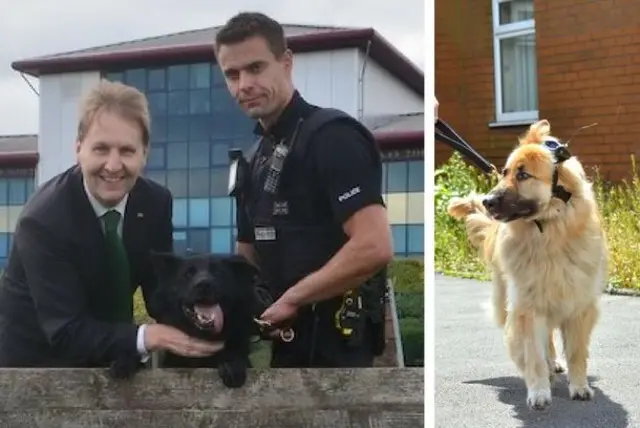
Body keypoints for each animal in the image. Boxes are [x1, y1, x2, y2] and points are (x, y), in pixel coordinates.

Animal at [448, 118, 608, 410]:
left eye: (523, 175)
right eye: (505, 172)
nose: (487, 201)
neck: (549, 233)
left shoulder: (578, 304)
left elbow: (577, 353)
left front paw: (579, 386)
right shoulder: (527, 306)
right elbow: (532, 354)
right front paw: (539, 391)